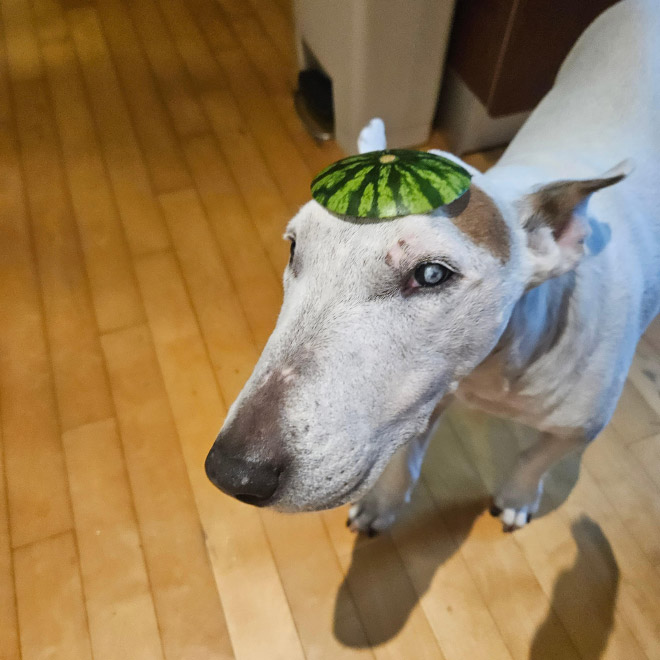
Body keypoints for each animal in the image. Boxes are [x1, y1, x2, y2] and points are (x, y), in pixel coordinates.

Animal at [205, 0, 660, 532]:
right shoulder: (427, 394)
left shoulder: (579, 429)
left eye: (431, 275)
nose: (232, 471)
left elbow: (535, 460)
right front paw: (382, 504)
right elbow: (405, 450)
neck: (494, 368)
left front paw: (517, 498)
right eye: (294, 248)